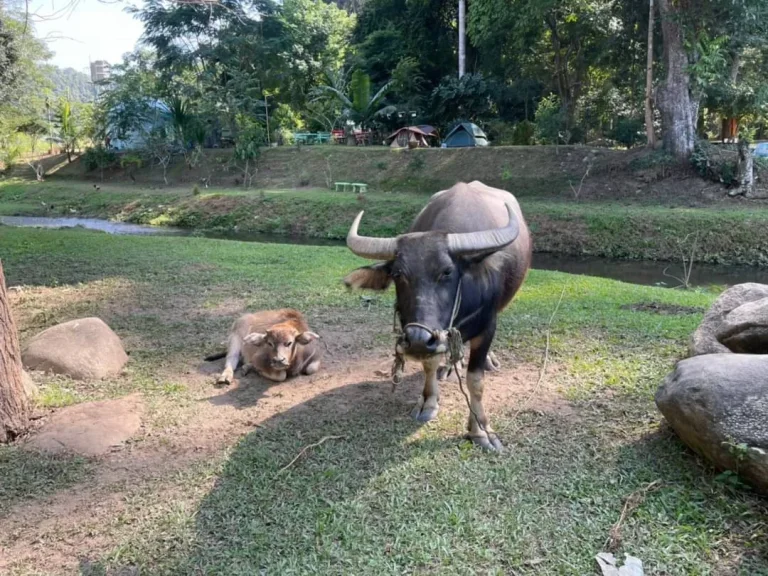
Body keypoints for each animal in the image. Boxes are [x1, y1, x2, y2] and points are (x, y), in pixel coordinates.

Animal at [344, 180, 532, 450]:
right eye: (398, 274)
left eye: (447, 272)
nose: (418, 340)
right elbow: (429, 364)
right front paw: (429, 401)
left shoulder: (487, 326)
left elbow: (476, 380)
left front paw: (480, 430)